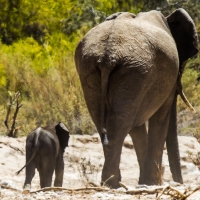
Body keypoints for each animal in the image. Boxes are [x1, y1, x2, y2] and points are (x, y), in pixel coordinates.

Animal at [74, 8, 198, 188]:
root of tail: (107, 55)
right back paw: (114, 183)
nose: (179, 182)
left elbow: (137, 125)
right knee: (120, 121)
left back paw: (111, 183)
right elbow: (161, 117)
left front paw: (148, 181)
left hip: (91, 68)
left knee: (105, 119)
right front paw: (152, 183)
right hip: (135, 69)